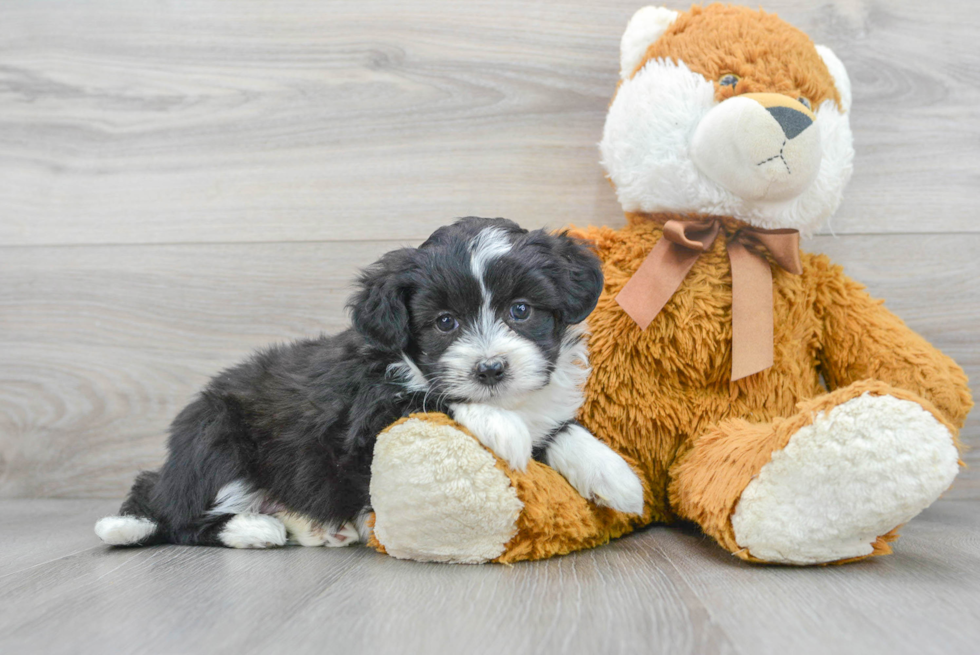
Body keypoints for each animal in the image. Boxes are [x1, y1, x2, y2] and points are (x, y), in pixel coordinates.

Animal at [95, 218, 648, 552]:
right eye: (444, 322)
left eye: (521, 310)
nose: (490, 369)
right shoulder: (367, 418)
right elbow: (437, 397)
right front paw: (503, 428)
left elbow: (557, 428)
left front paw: (614, 475)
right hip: (215, 438)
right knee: (181, 515)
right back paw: (253, 528)